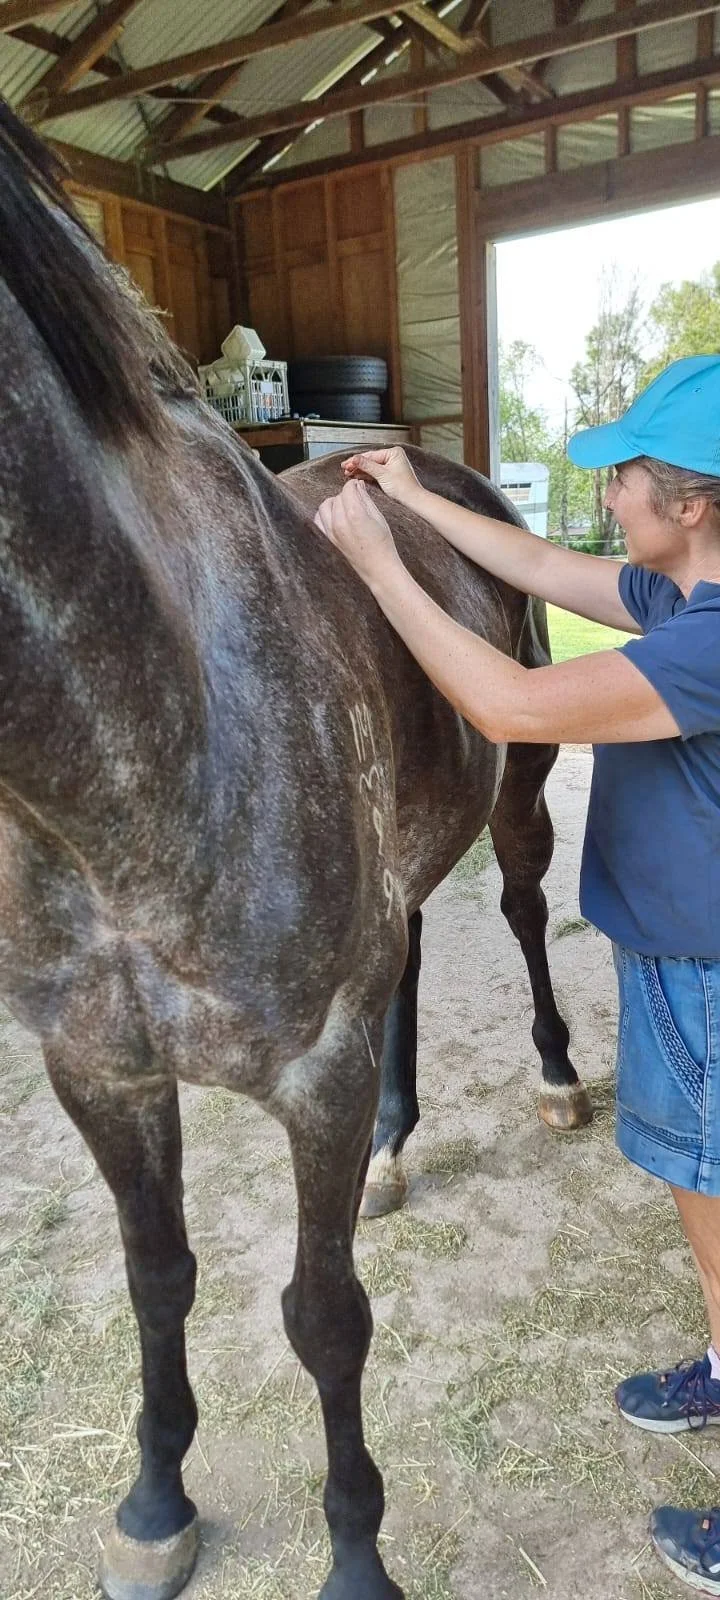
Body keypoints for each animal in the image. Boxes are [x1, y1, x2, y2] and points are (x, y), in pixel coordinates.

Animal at [0, 101, 588, 1600]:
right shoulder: (100, 1070)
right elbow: (159, 1275)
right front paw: (155, 1502)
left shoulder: (313, 1071)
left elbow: (324, 1317)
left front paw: (357, 1557)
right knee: (419, 948)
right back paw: (395, 1142)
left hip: (521, 793)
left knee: (516, 907)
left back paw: (559, 1081)